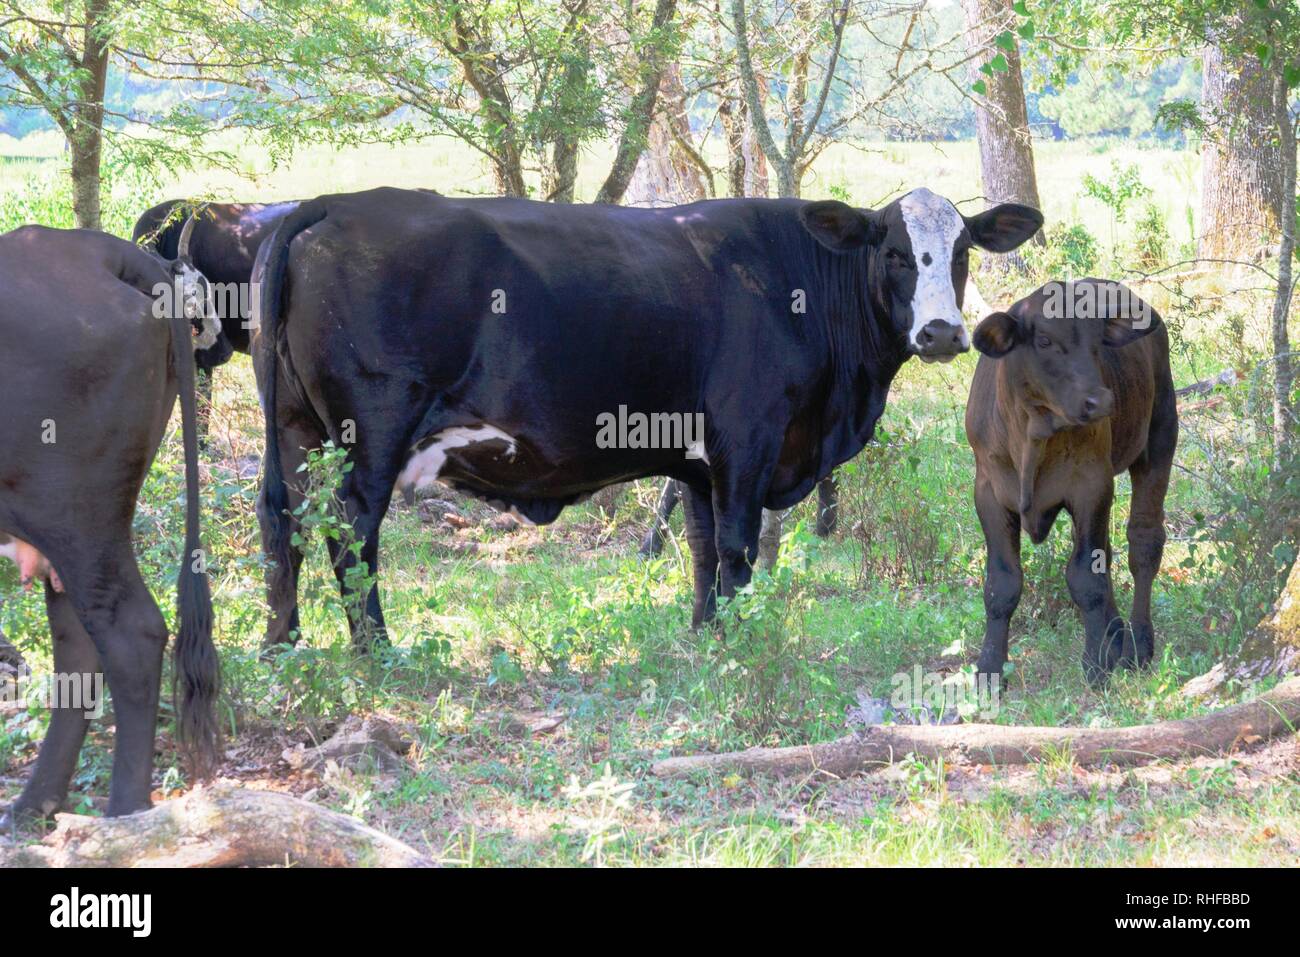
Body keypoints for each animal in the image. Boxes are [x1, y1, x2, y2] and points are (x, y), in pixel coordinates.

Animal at [0, 226, 220, 821]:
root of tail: (93, 248)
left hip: (75, 516)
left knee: (129, 633)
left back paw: (123, 812)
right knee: (79, 642)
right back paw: (35, 802)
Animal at [256, 184, 1045, 650]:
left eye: (962, 250)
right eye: (893, 252)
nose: (942, 332)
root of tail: (331, 202)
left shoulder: (697, 462)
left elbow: (700, 551)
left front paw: (702, 634)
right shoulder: (746, 442)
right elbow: (736, 547)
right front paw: (736, 642)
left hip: (293, 429)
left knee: (280, 523)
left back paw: (281, 645)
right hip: (370, 436)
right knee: (351, 532)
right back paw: (375, 650)